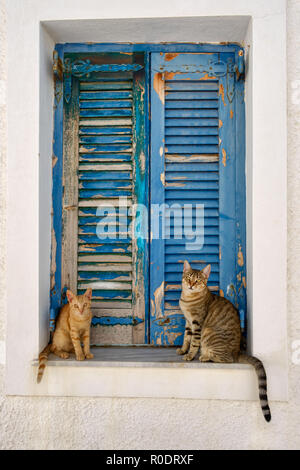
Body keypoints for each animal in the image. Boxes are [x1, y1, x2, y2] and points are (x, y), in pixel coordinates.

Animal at [177, 260, 270, 422]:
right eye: (188, 278)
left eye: (198, 280)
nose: (191, 285)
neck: (187, 299)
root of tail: (237, 352)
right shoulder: (188, 322)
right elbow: (186, 338)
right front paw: (183, 350)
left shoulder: (197, 323)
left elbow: (194, 342)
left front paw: (190, 355)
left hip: (209, 333)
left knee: (227, 359)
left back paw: (205, 357)